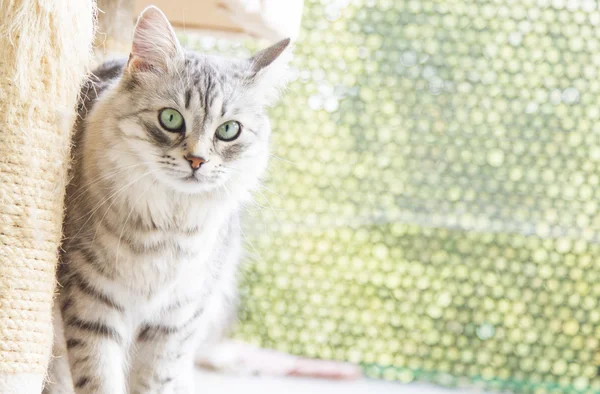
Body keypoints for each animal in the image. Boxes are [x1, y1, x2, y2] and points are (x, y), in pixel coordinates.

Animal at [44, 6, 290, 394]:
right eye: (171, 119)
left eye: (228, 130)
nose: (197, 161)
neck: (168, 225)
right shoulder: (92, 302)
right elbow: (99, 377)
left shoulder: (176, 318)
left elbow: (154, 380)